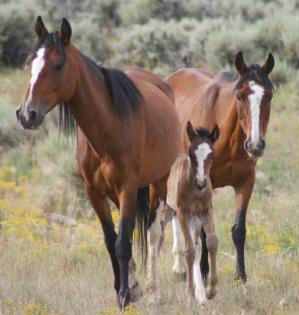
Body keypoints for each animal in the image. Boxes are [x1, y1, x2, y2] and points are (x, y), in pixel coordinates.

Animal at [16, 16, 180, 308]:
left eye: (58, 65)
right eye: (29, 62)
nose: (27, 114)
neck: (109, 127)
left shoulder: (127, 188)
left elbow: (123, 242)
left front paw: (124, 296)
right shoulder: (94, 192)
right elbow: (110, 240)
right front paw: (125, 289)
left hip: (158, 183)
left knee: (153, 233)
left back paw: (152, 292)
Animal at [162, 121, 220, 304]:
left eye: (212, 154)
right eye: (191, 154)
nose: (201, 183)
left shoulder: (206, 210)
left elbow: (211, 241)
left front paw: (210, 290)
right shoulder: (183, 212)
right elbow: (188, 250)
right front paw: (190, 295)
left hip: (194, 219)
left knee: (196, 243)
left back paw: (201, 293)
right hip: (170, 210)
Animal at [165, 52, 276, 284]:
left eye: (269, 95)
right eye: (240, 96)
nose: (255, 145)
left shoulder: (246, 182)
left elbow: (238, 230)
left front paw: (240, 276)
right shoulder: (205, 183)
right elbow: (204, 231)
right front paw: (204, 270)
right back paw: (179, 267)